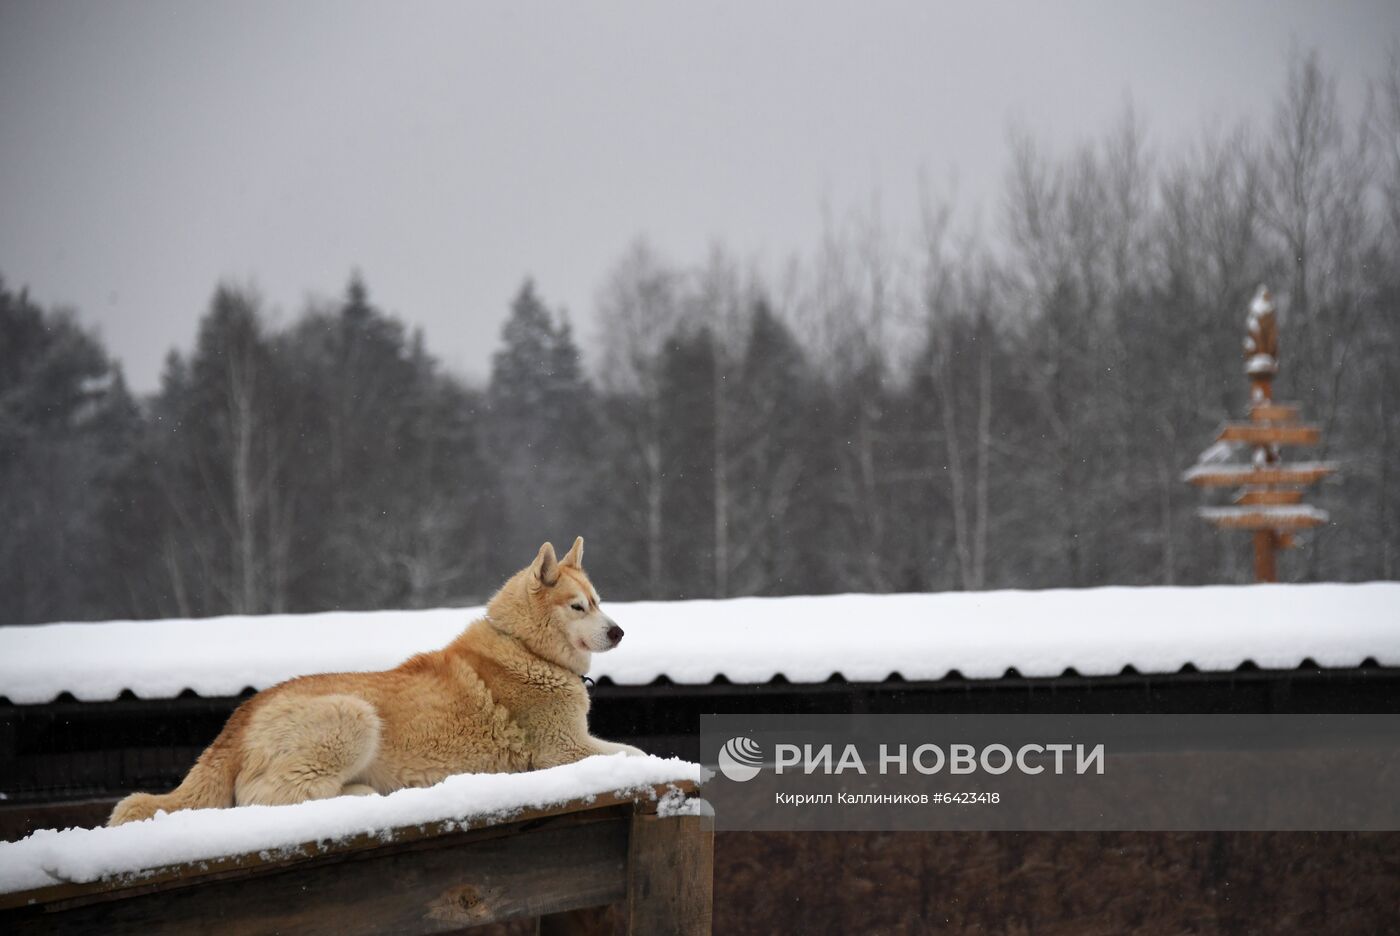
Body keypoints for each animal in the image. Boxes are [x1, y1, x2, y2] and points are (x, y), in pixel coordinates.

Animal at [109, 537, 644, 822]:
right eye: (578, 607)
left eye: (598, 601)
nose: (620, 631)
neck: (526, 648)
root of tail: (242, 715)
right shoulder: (562, 750)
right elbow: (634, 754)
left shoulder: (576, 742)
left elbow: (631, 751)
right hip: (352, 714)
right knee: (264, 800)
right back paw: (363, 793)